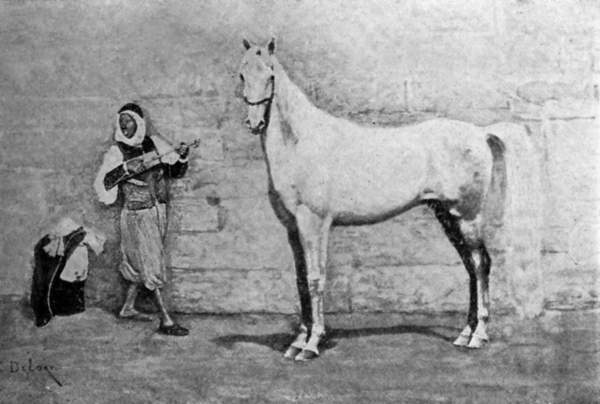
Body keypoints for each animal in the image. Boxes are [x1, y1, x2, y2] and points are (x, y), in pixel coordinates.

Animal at [238, 37, 544, 360]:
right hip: (447, 216)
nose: (255, 123)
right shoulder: (293, 228)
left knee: (481, 264)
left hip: (467, 217)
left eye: (270, 75)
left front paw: (311, 344)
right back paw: (464, 334)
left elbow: (315, 279)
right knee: (471, 268)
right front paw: (297, 341)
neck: (302, 142)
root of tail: (482, 132)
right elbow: (300, 282)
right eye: (242, 75)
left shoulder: (314, 223)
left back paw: (479, 335)